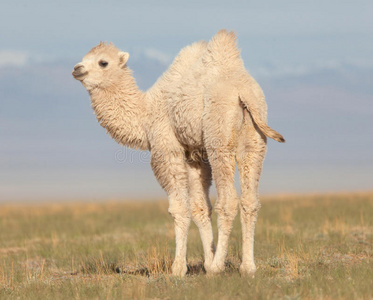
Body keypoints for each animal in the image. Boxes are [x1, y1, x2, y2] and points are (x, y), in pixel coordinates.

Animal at [71, 29, 284, 278]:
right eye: (85, 57)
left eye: (103, 62)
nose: (77, 69)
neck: (146, 113)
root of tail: (243, 92)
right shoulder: (194, 155)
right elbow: (200, 207)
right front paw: (206, 261)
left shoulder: (167, 148)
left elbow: (179, 208)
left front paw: (180, 267)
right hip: (254, 139)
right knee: (250, 200)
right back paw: (247, 267)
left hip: (219, 137)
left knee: (229, 200)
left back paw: (219, 267)